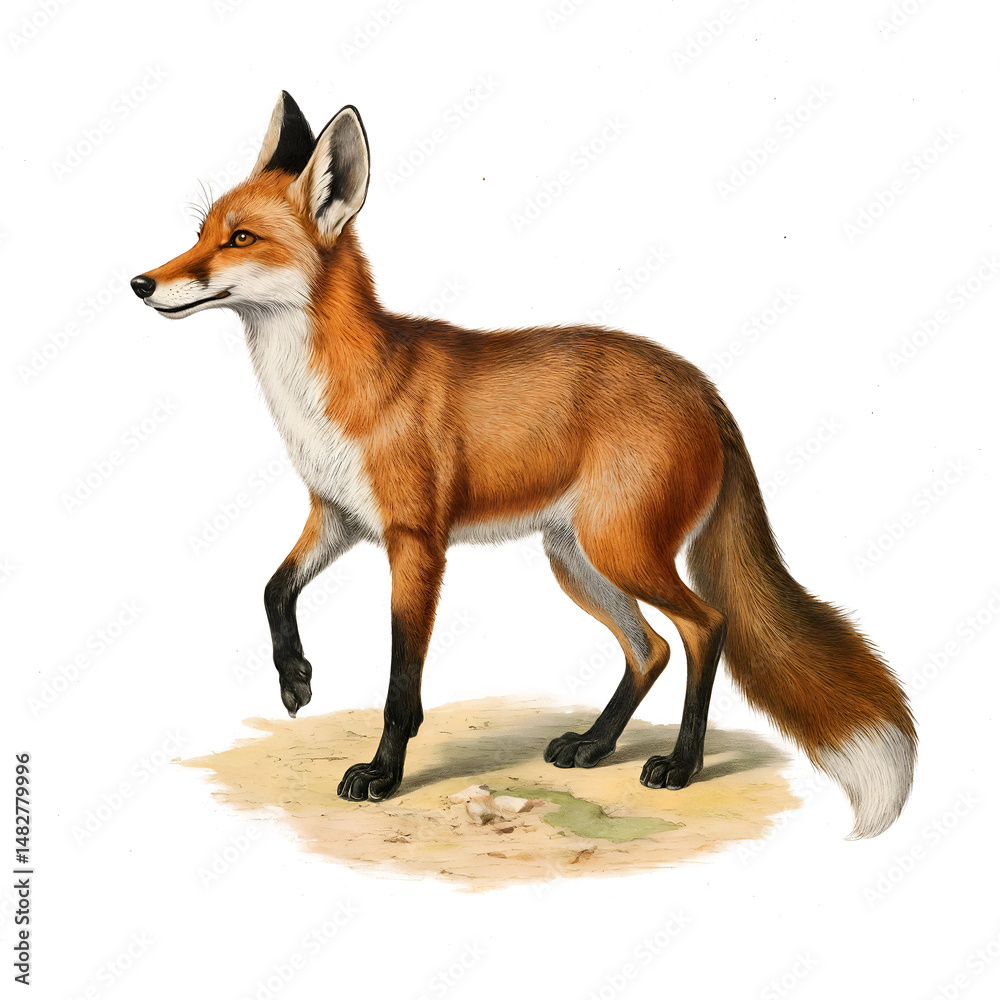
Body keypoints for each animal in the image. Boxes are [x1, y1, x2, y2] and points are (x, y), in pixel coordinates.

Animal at [132, 92, 916, 838]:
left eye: (240, 239)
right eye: (200, 232)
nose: (141, 283)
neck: (335, 393)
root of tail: (699, 383)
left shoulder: (415, 541)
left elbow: (401, 686)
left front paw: (384, 775)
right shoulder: (338, 517)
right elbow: (273, 589)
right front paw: (295, 680)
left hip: (619, 550)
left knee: (705, 627)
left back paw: (682, 765)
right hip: (577, 559)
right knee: (651, 648)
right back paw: (595, 745)